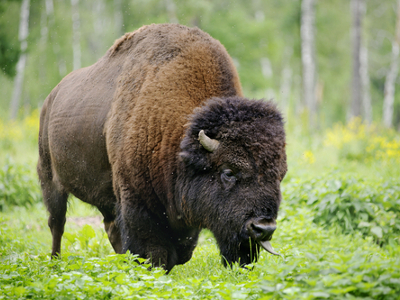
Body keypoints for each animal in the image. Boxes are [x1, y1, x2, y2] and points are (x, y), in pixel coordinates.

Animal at [37, 23, 286, 272]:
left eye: (280, 176)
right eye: (228, 172)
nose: (264, 228)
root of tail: (50, 99)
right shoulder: (136, 201)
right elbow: (152, 250)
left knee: (109, 227)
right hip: (50, 180)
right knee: (57, 223)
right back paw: (54, 262)